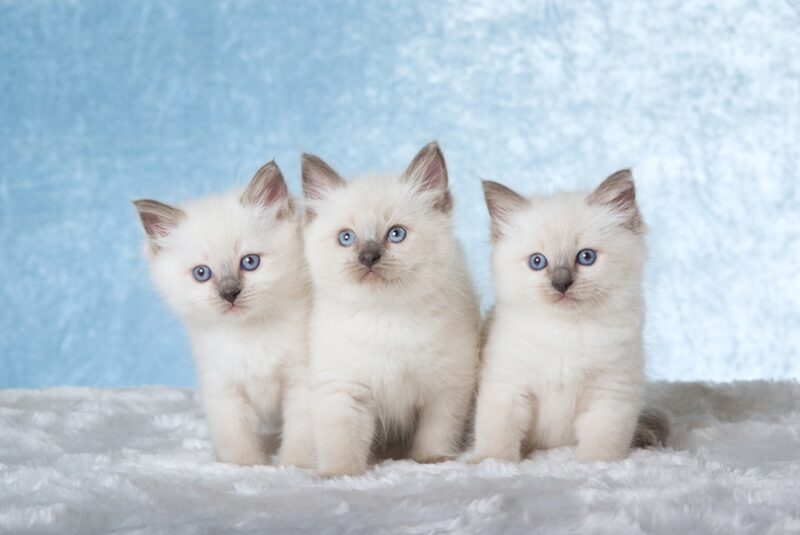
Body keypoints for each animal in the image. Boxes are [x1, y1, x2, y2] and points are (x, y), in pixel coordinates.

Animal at [134, 163, 312, 468]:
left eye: (250, 262)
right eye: (201, 273)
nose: (230, 293)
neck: (249, 332)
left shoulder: (302, 380)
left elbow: (301, 433)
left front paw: (294, 466)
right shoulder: (223, 388)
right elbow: (235, 437)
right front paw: (246, 466)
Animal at [304, 141, 482, 478]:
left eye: (396, 234)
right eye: (346, 238)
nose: (368, 257)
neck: (386, 316)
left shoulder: (446, 387)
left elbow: (436, 433)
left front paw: (432, 460)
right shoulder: (345, 389)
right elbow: (342, 440)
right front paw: (340, 475)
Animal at [476, 170, 664, 462]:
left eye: (586, 257)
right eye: (537, 262)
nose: (561, 284)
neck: (566, 331)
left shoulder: (611, 394)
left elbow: (601, 445)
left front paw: (594, 464)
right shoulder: (507, 387)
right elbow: (497, 434)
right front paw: (490, 462)